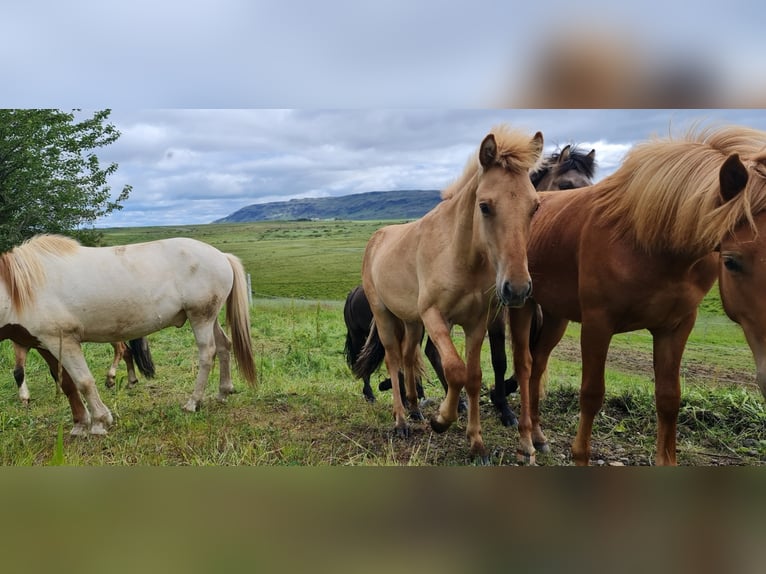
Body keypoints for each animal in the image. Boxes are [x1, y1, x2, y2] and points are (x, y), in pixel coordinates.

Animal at [11, 337, 155, 405]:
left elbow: (56, 370)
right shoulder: (21, 342)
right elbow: (18, 371)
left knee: (120, 349)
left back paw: (110, 378)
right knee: (127, 351)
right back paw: (131, 381)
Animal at [353, 124, 544, 463]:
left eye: (534, 206)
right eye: (485, 206)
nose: (518, 289)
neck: (460, 254)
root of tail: (377, 237)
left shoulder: (476, 322)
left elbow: (474, 375)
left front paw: (477, 443)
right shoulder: (435, 316)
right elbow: (455, 370)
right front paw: (442, 420)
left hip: (411, 321)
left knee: (408, 355)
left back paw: (415, 409)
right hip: (385, 315)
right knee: (392, 358)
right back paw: (401, 421)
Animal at [508, 124, 766, 466]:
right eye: (731, 261)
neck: (649, 240)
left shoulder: (676, 327)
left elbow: (669, 398)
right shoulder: (597, 324)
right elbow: (591, 394)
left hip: (555, 316)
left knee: (538, 363)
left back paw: (538, 435)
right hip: (523, 306)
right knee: (524, 365)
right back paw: (526, 442)